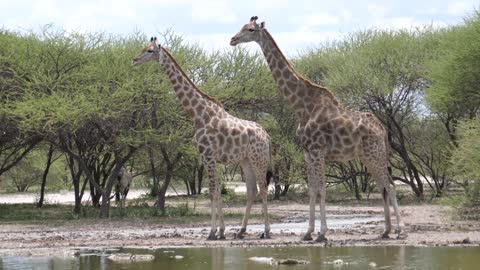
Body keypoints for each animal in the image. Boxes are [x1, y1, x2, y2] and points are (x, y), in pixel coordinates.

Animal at [133, 37, 272, 239]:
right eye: (143, 48)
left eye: (150, 50)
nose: (134, 60)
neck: (198, 115)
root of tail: (267, 136)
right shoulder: (208, 158)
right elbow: (215, 192)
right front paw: (221, 231)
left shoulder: (208, 156)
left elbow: (213, 192)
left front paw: (213, 232)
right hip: (245, 160)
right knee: (252, 190)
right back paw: (241, 231)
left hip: (258, 158)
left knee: (263, 188)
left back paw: (266, 231)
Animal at [231, 15, 404, 242]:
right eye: (242, 27)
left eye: (250, 30)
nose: (233, 39)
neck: (301, 105)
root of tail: (383, 130)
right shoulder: (307, 152)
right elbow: (313, 190)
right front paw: (308, 233)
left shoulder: (317, 150)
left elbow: (321, 189)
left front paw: (322, 233)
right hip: (369, 156)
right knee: (384, 186)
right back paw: (385, 230)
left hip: (375, 154)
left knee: (390, 185)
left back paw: (400, 230)